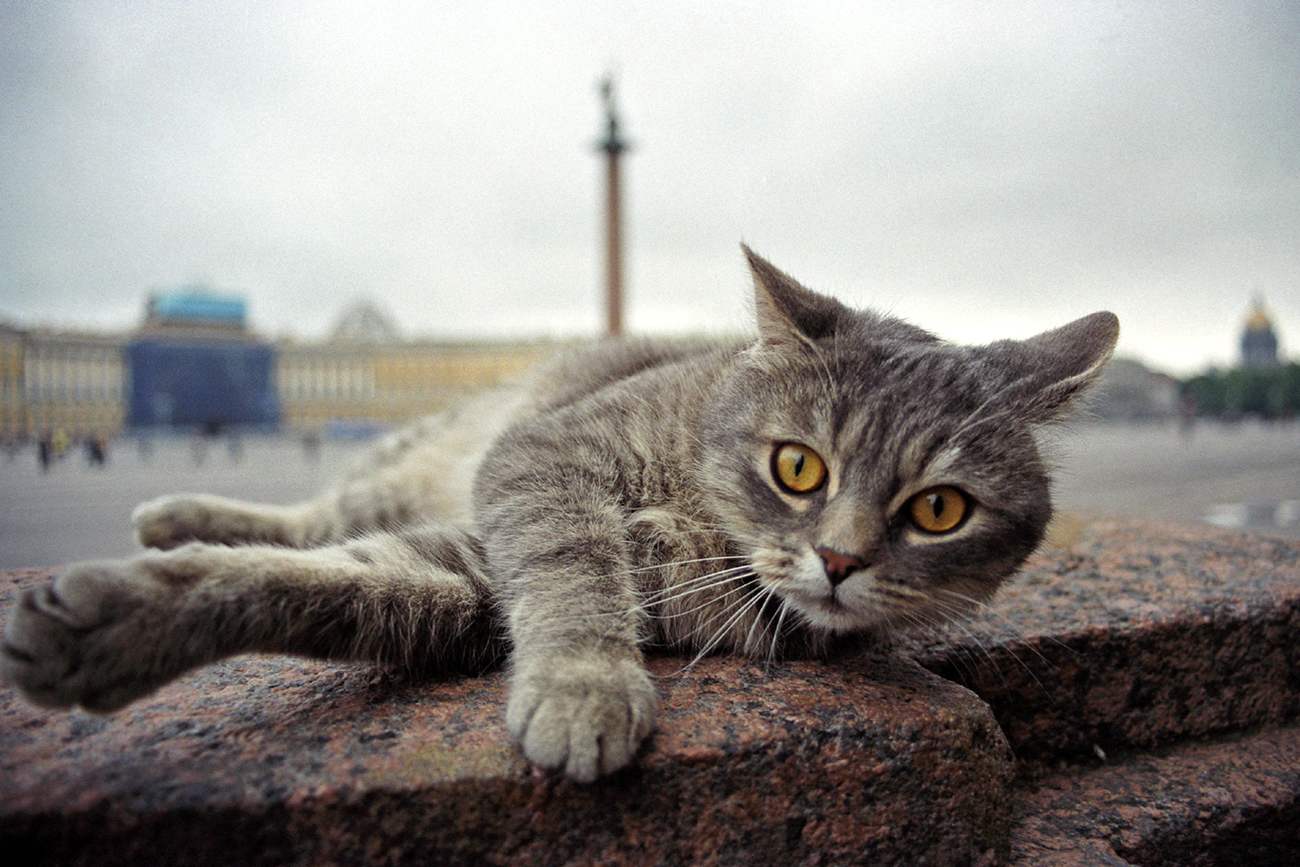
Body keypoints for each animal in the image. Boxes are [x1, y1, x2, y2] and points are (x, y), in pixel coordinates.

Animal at [0, 246, 1118, 785]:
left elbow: (326, 585)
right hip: (433, 452)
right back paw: (176, 509)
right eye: (797, 465)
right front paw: (587, 689)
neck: (702, 524)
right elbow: (570, 568)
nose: (839, 562)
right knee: (320, 509)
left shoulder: (467, 580)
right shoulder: (537, 465)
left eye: (940, 509)